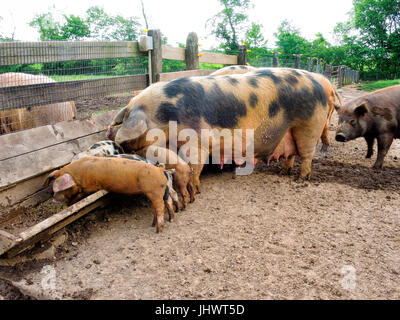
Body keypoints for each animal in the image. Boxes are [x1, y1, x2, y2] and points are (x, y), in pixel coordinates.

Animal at [44, 156, 174, 232]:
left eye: (60, 190)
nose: (54, 198)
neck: (78, 174)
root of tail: (160, 170)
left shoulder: (91, 187)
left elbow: (80, 195)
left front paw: (70, 203)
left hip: (154, 192)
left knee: (160, 207)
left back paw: (158, 229)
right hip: (161, 191)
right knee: (168, 202)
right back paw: (169, 219)